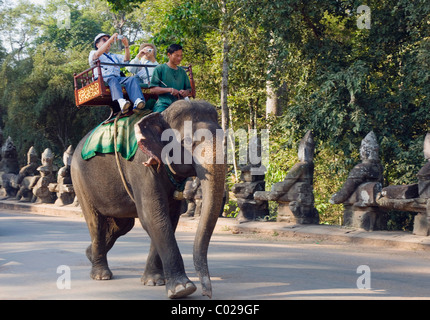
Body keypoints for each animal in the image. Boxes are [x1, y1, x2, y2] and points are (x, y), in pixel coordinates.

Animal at [71, 99, 225, 298]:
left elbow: (169, 218)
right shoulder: (141, 165)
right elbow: (152, 216)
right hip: (79, 180)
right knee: (95, 222)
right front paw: (183, 289)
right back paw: (101, 275)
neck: (162, 116)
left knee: (122, 226)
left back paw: (89, 254)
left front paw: (154, 281)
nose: (207, 294)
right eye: (188, 142)